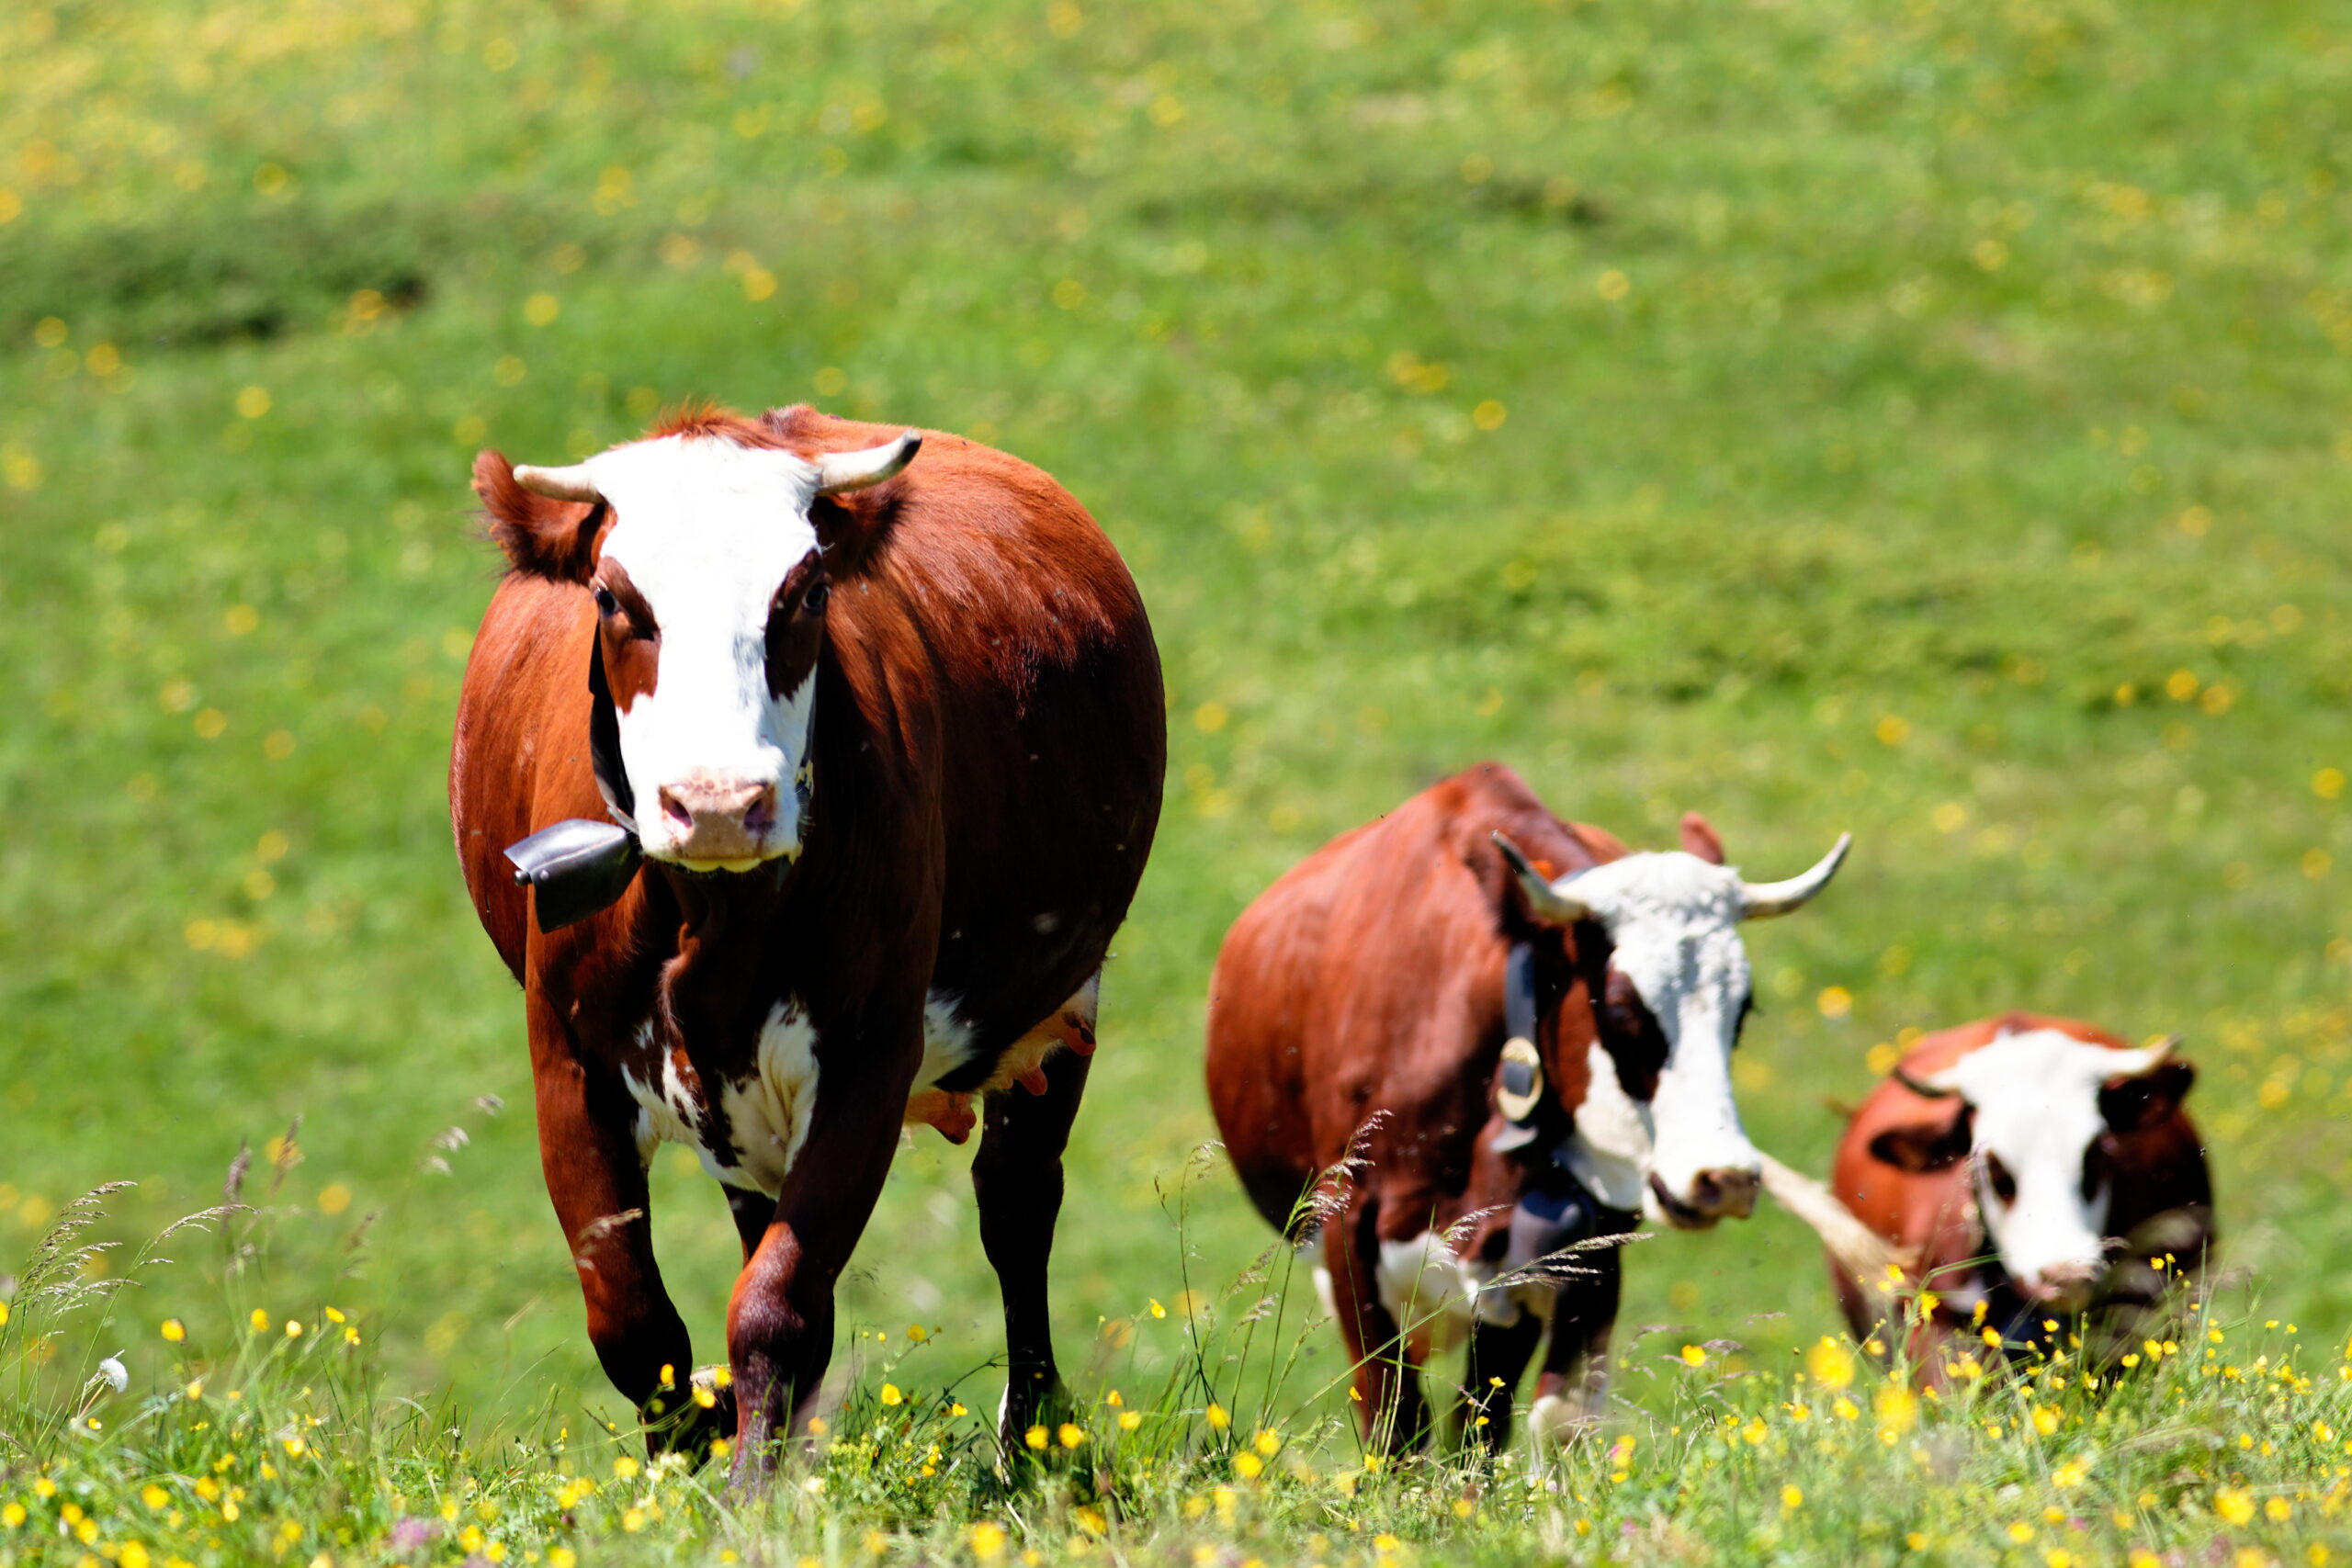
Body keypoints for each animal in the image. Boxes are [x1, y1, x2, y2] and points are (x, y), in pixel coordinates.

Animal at [449, 404, 1164, 1476]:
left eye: (808, 590)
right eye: (614, 599)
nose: (716, 802)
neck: (715, 919)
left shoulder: (870, 1050)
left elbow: (779, 1305)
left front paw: (752, 1488)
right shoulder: (567, 1063)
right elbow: (635, 1323)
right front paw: (686, 1457)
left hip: (1057, 1004)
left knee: (1016, 1204)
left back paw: (1034, 1431)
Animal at [1203, 762, 1849, 1450]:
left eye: (1742, 1008)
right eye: (1621, 1007)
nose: (1724, 1177)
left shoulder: (1556, 1254)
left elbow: (1501, 1424)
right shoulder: (1348, 1232)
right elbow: (1395, 1419)